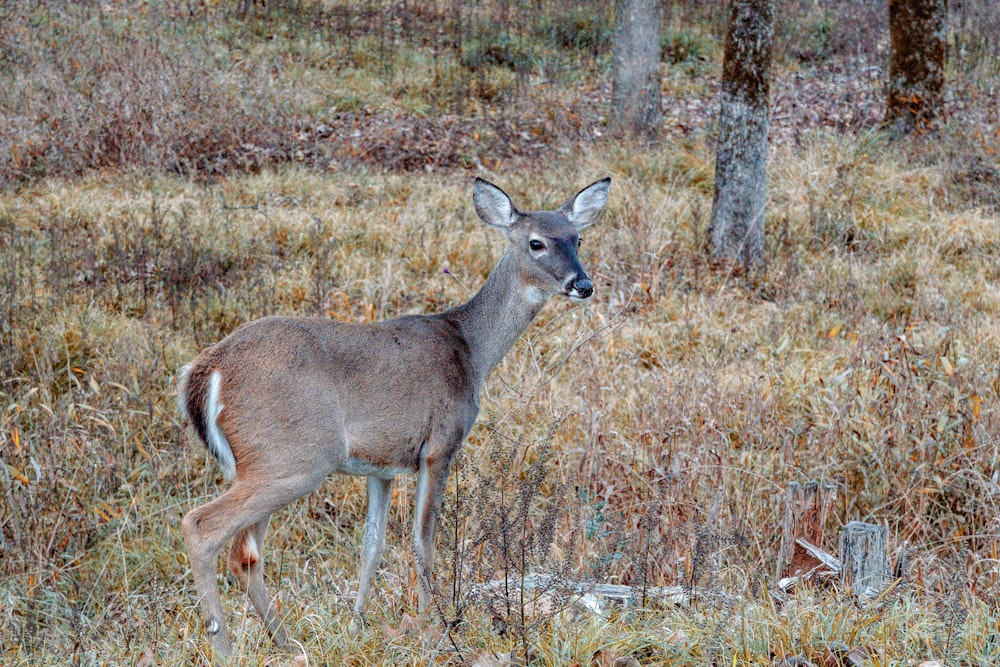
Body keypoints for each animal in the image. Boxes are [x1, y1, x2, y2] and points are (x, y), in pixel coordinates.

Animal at [180, 175, 612, 660]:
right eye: (536, 242)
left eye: (578, 238)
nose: (583, 284)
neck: (471, 350)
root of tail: (207, 370)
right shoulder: (439, 445)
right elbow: (424, 541)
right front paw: (433, 629)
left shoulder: (381, 466)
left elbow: (373, 544)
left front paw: (357, 624)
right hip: (295, 456)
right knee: (202, 527)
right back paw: (224, 646)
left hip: (263, 462)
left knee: (246, 554)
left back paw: (287, 643)